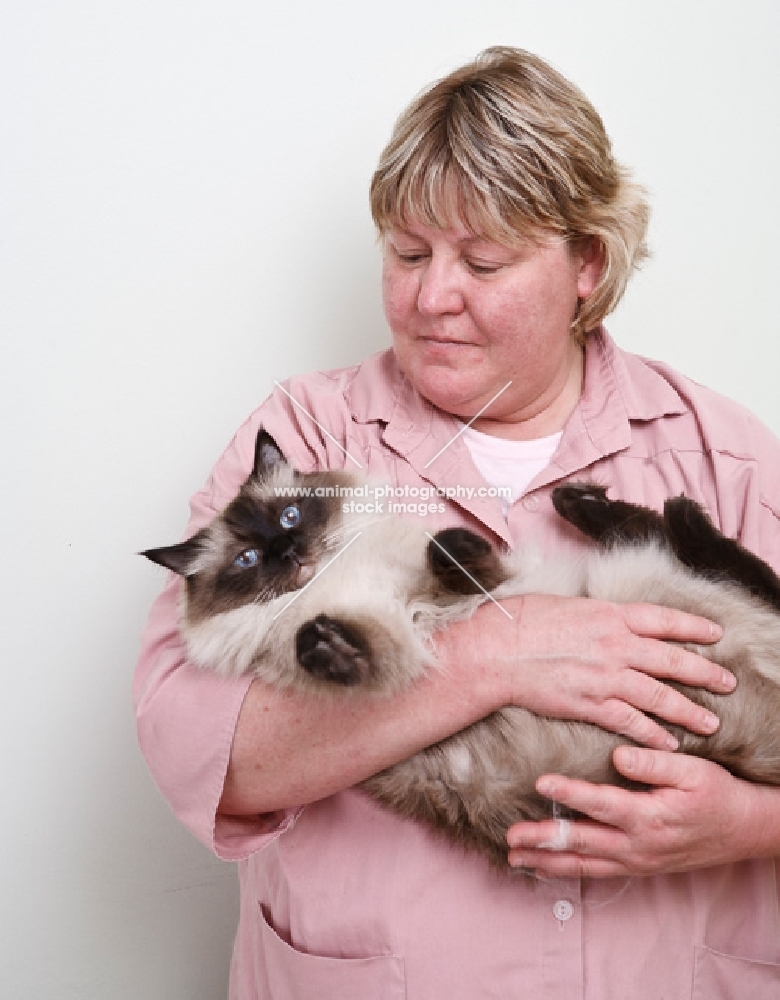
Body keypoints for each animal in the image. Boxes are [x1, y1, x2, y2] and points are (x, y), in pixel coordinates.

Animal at [143, 430, 780, 868]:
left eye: (290, 514)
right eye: (247, 560)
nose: (287, 552)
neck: (335, 581)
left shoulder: (473, 585)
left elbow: (454, 559)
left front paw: (452, 546)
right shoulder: (393, 646)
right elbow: (349, 650)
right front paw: (323, 643)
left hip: (635, 581)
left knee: (715, 557)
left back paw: (624, 506)